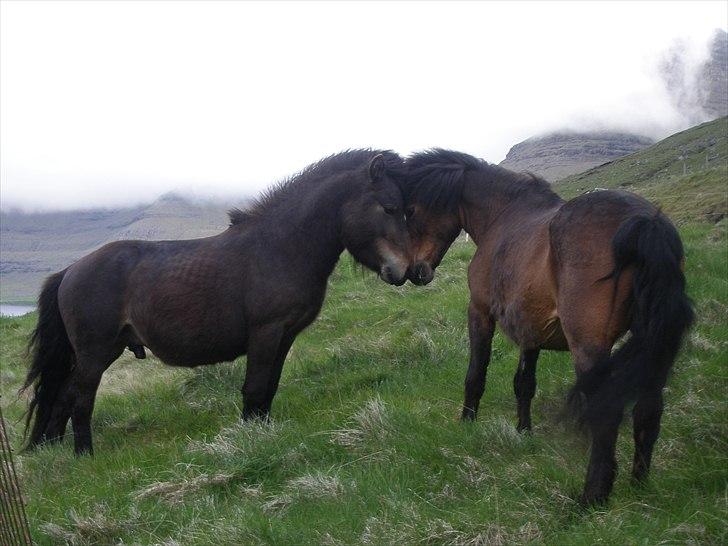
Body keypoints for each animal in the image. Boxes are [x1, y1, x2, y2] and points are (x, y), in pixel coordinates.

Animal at [22, 149, 412, 454]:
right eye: (390, 207)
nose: (405, 270)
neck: (280, 247)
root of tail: (69, 271)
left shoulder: (284, 336)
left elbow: (269, 388)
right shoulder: (265, 333)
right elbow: (255, 389)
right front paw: (249, 440)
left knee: (61, 398)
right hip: (96, 352)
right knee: (79, 399)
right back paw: (84, 455)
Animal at [404, 148, 692, 502]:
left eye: (410, 211)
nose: (415, 271)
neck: (504, 216)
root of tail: (646, 222)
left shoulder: (480, 312)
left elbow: (475, 375)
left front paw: (467, 425)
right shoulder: (531, 330)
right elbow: (524, 383)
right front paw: (523, 432)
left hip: (589, 347)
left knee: (607, 411)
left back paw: (592, 496)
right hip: (652, 346)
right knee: (648, 410)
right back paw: (639, 483)